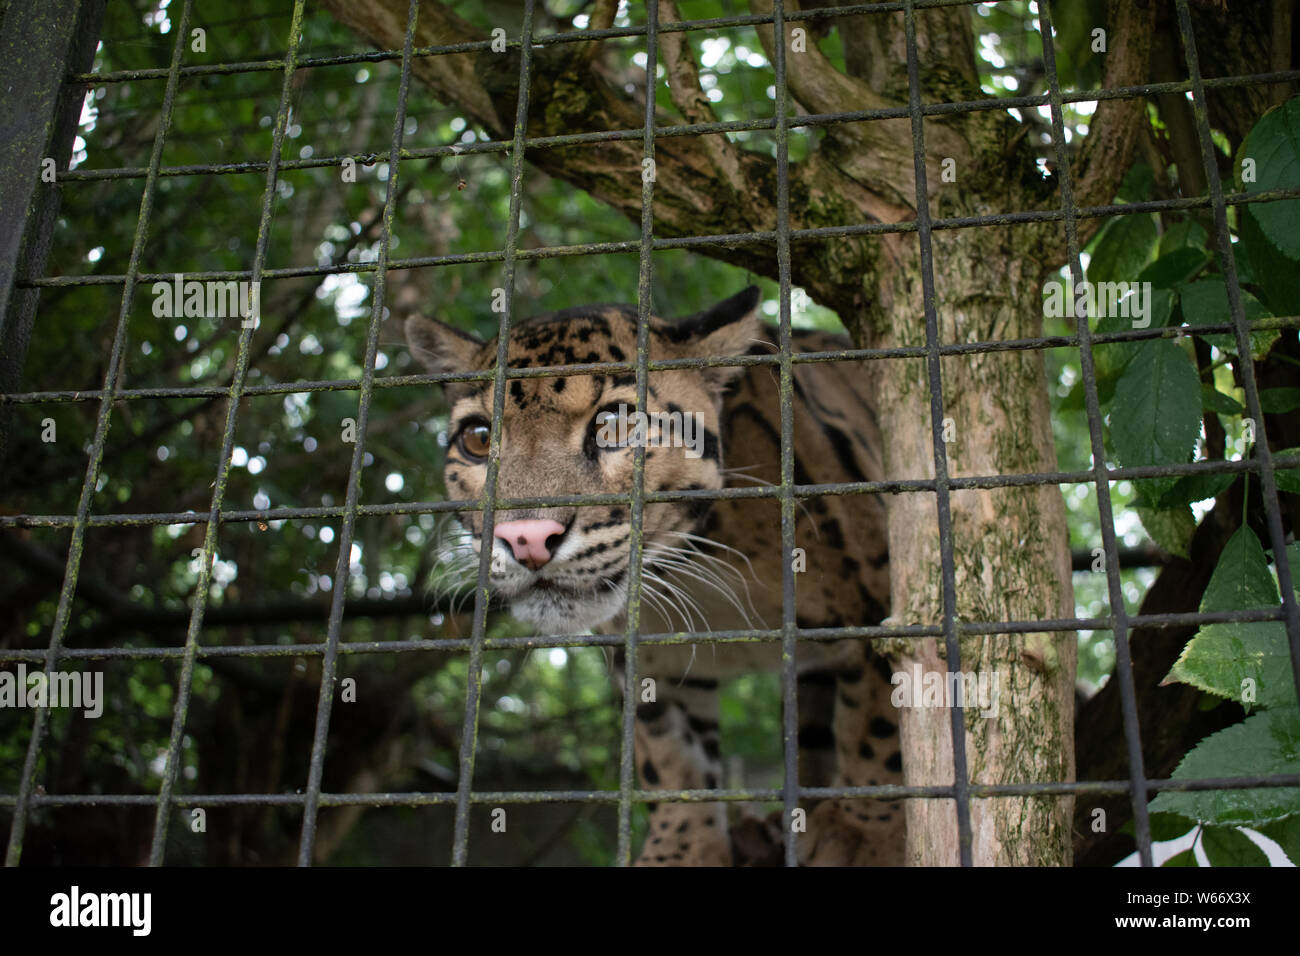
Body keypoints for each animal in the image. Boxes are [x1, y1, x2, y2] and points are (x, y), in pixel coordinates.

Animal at [405, 286, 904, 868]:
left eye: (615, 423)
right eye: (479, 438)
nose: (526, 538)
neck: (696, 564)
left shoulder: (882, 594)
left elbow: (882, 719)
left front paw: (864, 831)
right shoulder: (648, 659)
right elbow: (669, 751)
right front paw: (682, 846)